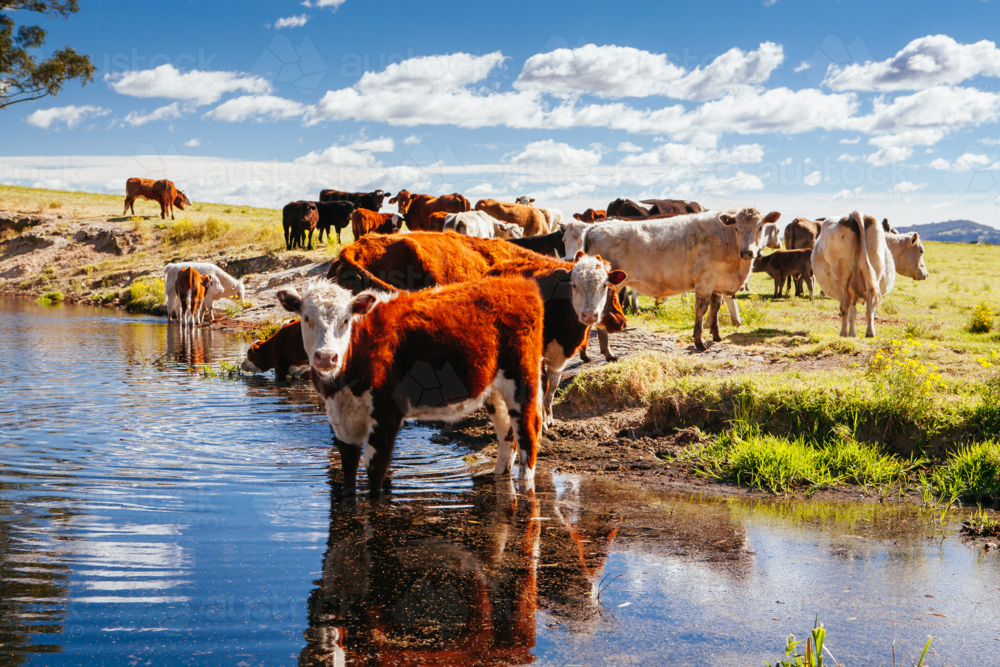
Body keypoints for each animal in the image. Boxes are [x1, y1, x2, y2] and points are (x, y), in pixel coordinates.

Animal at [277, 276, 545, 493]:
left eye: (345, 320)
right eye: (306, 318)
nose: (326, 357)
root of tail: (517, 283)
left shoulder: (387, 414)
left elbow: (375, 474)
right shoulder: (342, 422)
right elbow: (349, 475)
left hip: (522, 376)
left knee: (527, 431)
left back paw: (525, 484)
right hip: (494, 387)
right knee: (505, 430)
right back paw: (499, 474)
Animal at [563, 208, 781, 351]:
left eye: (760, 227)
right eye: (736, 228)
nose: (747, 252)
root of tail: (596, 227)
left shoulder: (716, 282)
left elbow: (716, 307)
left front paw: (717, 335)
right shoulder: (704, 281)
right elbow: (701, 309)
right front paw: (699, 341)